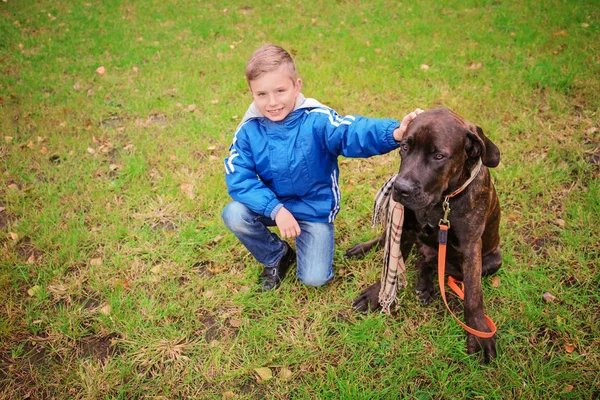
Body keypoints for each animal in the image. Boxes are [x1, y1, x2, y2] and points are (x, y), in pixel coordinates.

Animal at [346, 108, 502, 364]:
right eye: (404, 147)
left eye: (439, 156)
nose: (400, 188)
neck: (441, 201)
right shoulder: (406, 230)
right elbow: (390, 266)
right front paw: (375, 294)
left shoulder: (471, 248)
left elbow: (473, 294)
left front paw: (479, 332)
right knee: (401, 247)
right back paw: (363, 248)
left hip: (492, 261)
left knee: (432, 263)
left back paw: (426, 285)